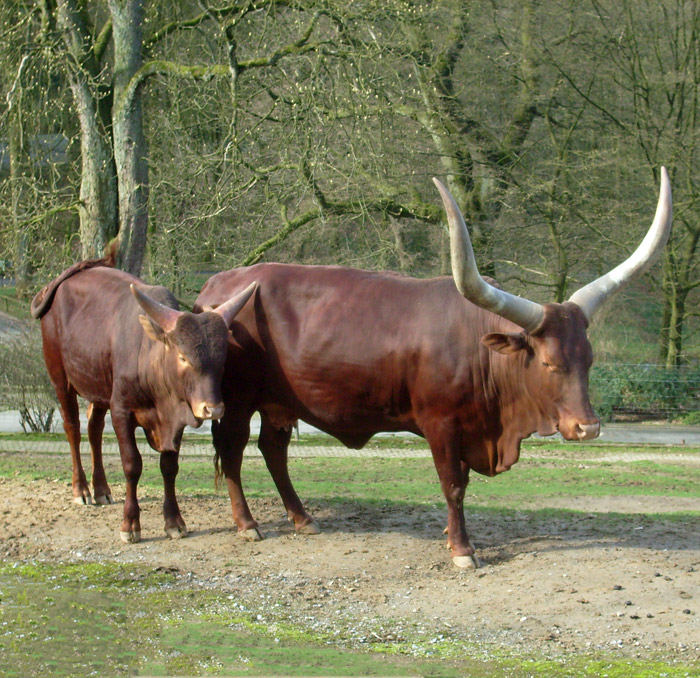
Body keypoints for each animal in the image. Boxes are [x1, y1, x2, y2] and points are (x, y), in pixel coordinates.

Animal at [32, 252, 258, 544]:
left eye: (223, 359)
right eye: (182, 357)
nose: (213, 409)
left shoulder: (176, 420)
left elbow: (169, 466)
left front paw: (174, 521)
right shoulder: (121, 411)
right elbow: (132, 465)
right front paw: (130, 524)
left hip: (98, 387)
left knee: (94, 430)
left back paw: (101, 488)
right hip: (61, 379)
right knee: (72, 429)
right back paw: (81, 489)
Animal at [193, 169, 672, 568]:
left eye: (589, 359)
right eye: (549, 362)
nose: (587, 428)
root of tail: (216, 287)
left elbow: (462, 484)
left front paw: (450, 535)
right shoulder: (441, 424)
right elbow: (453, 485)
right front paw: (462, 549)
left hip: (279, 403)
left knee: (273, 451)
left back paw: (303, 518)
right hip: (235, 400)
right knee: (233, 452)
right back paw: (248, 524)